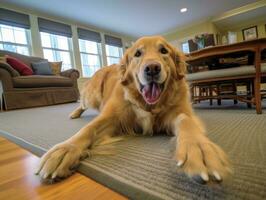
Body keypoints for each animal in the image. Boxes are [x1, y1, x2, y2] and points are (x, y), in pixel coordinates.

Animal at [35, 35, 231, 184]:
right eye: (138, 53)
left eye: (163, 51)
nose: (152, 68)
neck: (148, 105)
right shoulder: (112, 117)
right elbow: (88, 129)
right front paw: (65, 150)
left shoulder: (179, 113)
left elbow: (186, 121)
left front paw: (199, 147)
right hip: (92, 96)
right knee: (82, 103)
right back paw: (74, 113)